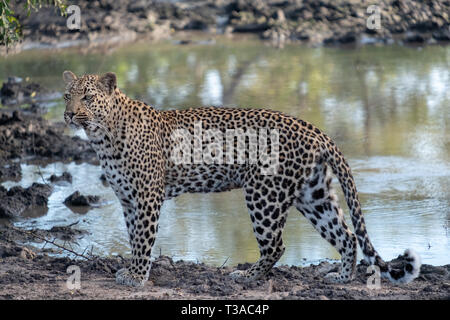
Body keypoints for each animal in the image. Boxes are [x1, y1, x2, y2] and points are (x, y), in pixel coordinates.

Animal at [61, 71, 420, 286]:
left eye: (88, 97)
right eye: (67, 95)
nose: (69, 114)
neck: (103, 136)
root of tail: (313, 128)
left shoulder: (147, 195)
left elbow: (143, 239)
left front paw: (136, 277)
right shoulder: (127, 199)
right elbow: (135, 235)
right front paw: (133, 271)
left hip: (265, 194)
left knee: (276, 245)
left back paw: (246, 277)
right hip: (313, 195)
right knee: (346, 236)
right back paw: (342, 278)